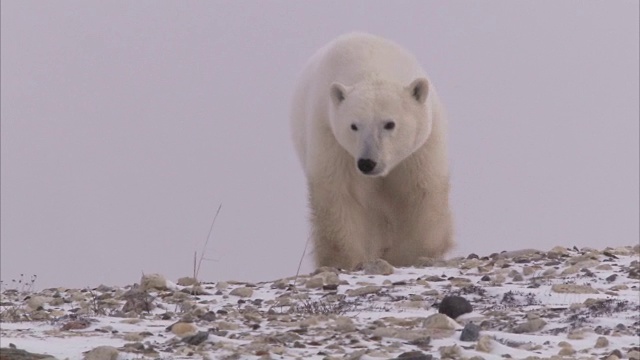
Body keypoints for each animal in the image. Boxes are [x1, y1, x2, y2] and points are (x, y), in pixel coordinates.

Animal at [292, 33, 456, 270]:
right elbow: (340, 193)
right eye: (354, 126)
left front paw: (411, 254)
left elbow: (419, 191)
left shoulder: (421, 148)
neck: (370, 65)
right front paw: (344, 259)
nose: (367, 162)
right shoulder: (331, 137)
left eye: (389, 124)